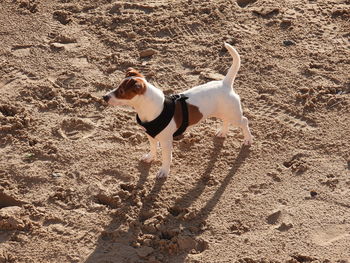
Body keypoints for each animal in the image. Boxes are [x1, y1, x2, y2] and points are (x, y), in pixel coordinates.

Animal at [102, 43, 253, 178]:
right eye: (117, 87)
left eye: (121, 91)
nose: (104, 97)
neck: (150, 108)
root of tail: (225, 84)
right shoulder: (151, 135)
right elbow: (153, 148)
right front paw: (150, 157)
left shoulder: (166, 141)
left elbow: (166, 158)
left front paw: (163, 172)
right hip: (224, 112)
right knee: (225, 120)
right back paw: (223, 132)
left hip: (234, 115)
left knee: (244, 121)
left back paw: (247, 139)